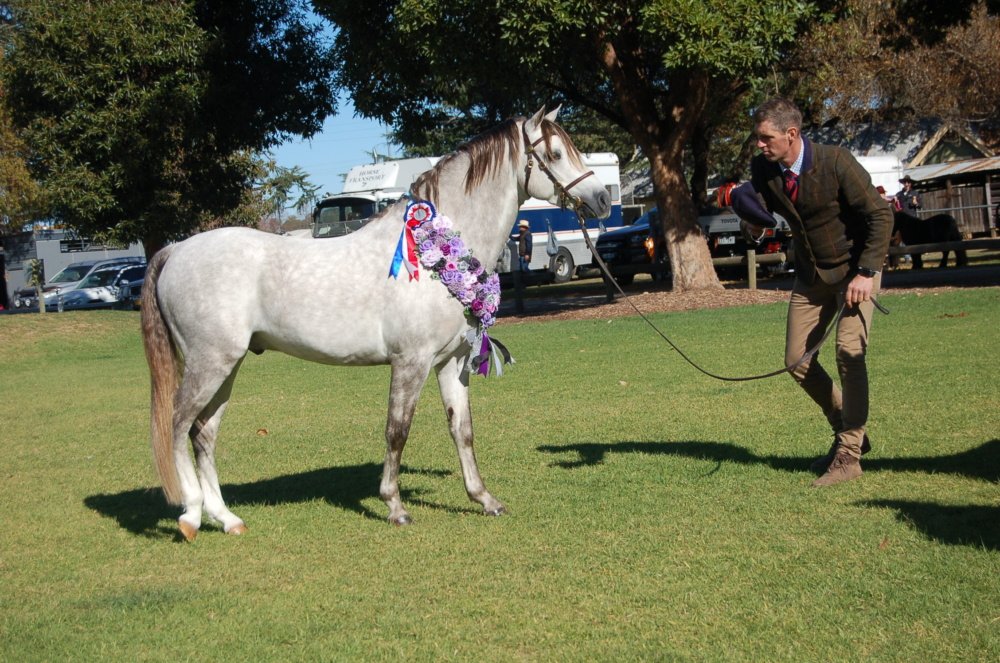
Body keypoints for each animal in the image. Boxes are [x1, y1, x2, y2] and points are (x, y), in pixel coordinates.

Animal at [140, 108, 611, 540]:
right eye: (555, 153)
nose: (602, 199)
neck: (434, 254)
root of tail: (175, 250)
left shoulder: (452, 362)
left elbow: (462, 430)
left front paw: (484, 499)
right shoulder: (411, 362)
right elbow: (397, 431)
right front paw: (395, 507)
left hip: (228, 366)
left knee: (204, 434)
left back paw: (227, 519)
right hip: (209, 364)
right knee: (178, 427)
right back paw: (191, 516)